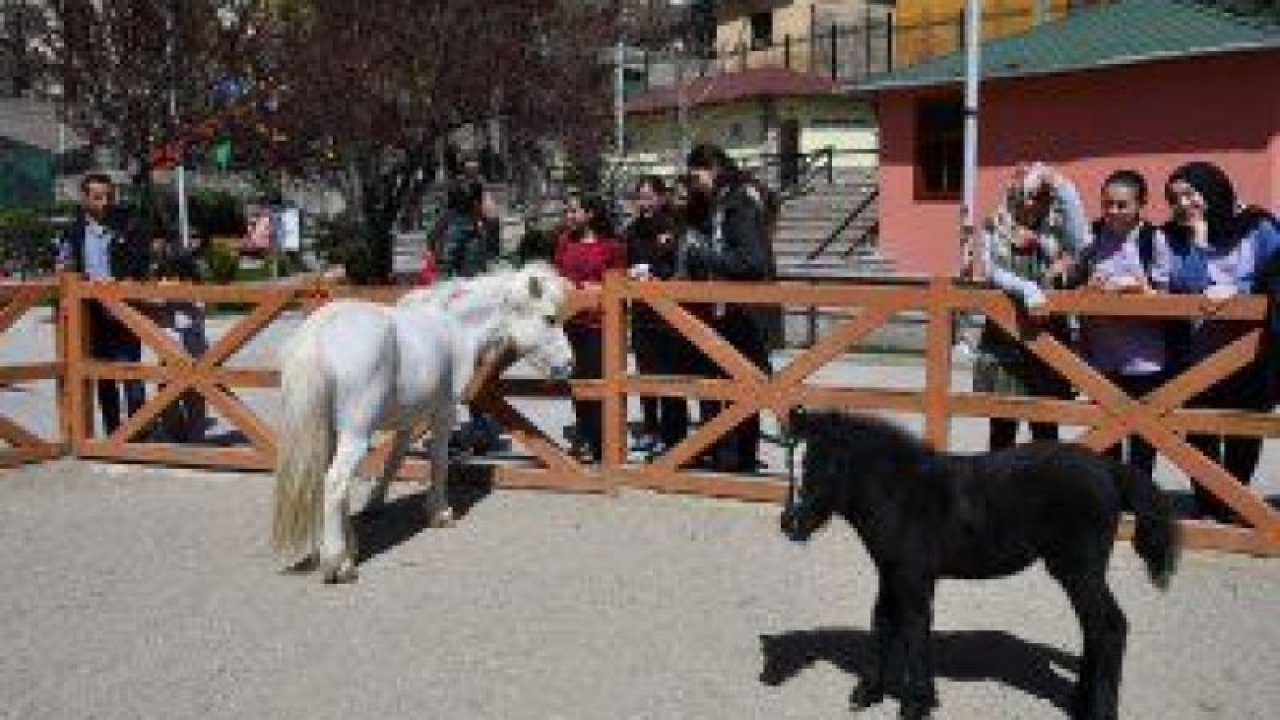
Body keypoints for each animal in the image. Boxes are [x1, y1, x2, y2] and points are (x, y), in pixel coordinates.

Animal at [276, 260, 576, 579]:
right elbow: (439, 461)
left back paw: (347, 550)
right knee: (335, 482)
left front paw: (375, 504)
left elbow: (394, 460)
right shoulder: (443, 413)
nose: (569, 365)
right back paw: (338, 563)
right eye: (550, 318)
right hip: (355, 434)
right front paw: (440, 512)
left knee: (329, 482)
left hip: (332, 433)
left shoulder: (408, 420)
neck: (455, 327)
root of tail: (317, 335)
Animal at [778, 409, 1177, 717]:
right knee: (1094, 629)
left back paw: (1099, 710)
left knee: (1109, 627)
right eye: (796, 462)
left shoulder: (913, 574)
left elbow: (914, 627)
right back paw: (1078, 701)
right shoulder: (890, 572)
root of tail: (1107, 469)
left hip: (1079, 570)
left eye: (832, 465)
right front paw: (868, 693)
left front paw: (917, 703)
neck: (900, 494)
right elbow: (884, 622)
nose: (791, 524)